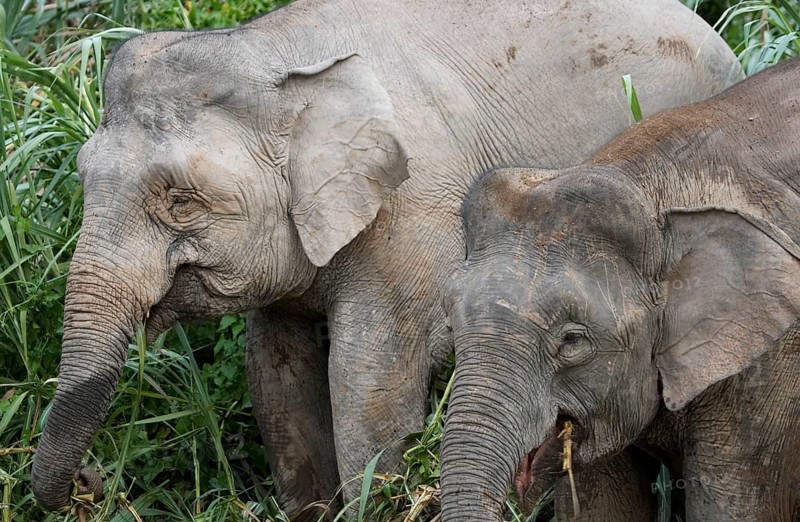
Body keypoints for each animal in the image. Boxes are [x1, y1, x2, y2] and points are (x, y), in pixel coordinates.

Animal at [30, 0, 740, 516]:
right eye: (82, 176)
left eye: (180, 199)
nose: (95, 478)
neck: (279, 55)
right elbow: (278, 382)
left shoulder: (410, 220)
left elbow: (367, 390)